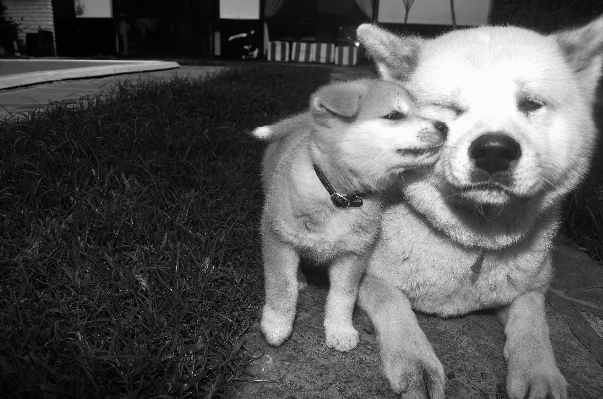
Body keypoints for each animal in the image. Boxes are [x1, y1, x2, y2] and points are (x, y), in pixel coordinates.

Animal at [252, 79, 446, 352]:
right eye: (394, 115)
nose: (445, 126)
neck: (340, 196)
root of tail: (302, 122)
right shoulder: (276, 237)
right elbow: (282, 287)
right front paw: (277, 325)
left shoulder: (354, 254)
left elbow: (343, 297)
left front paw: (340, 330)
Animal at [356, 15, 603, 399]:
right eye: (451, 109)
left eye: (530, 104)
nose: (494, 151)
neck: (476, 242)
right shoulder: (367, 276)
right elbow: (392, 303)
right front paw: (415, 359)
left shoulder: (532, 289)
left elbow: (533, 323)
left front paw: (539, 371)